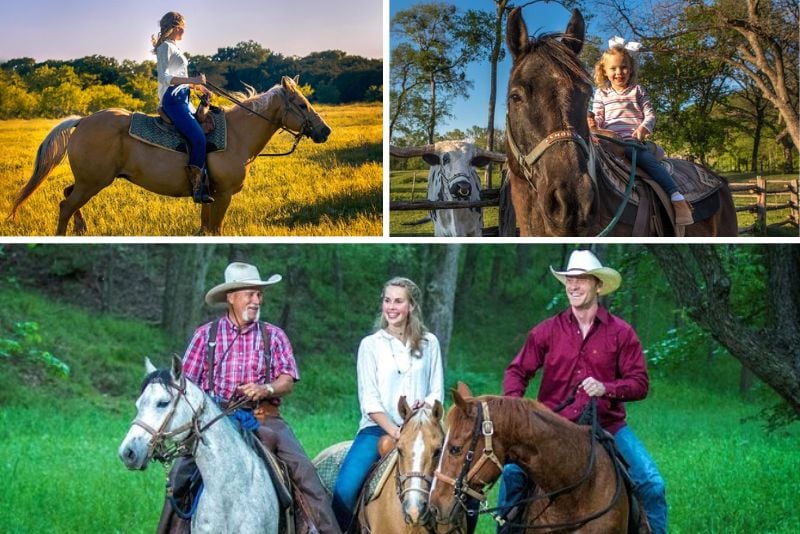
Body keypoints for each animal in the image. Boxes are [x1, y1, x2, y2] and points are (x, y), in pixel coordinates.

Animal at [7, 76, 332, 236]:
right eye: (302, 105)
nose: (325, 130)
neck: (237, 135)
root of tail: (83, 120)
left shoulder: (208, 194)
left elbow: (205, 230)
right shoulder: (224, 195)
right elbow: (216, 230)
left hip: (90, 180)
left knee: (66, 196)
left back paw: (81, 228)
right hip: (93, 182)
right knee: (65, 205)